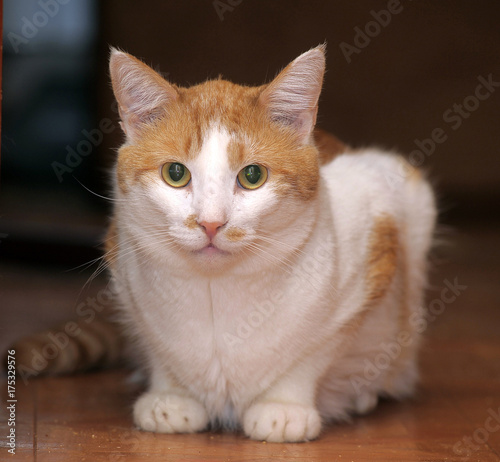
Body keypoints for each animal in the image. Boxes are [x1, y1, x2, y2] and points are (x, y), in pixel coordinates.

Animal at [9, 44, 436, 444]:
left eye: (252, 176)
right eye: (175, 173)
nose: (211, 223)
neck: (218, 294)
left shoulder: (375, 231)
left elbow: (311, 355)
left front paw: (283, 405)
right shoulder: (125, 272)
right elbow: (158, 348)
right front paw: (171, 396)